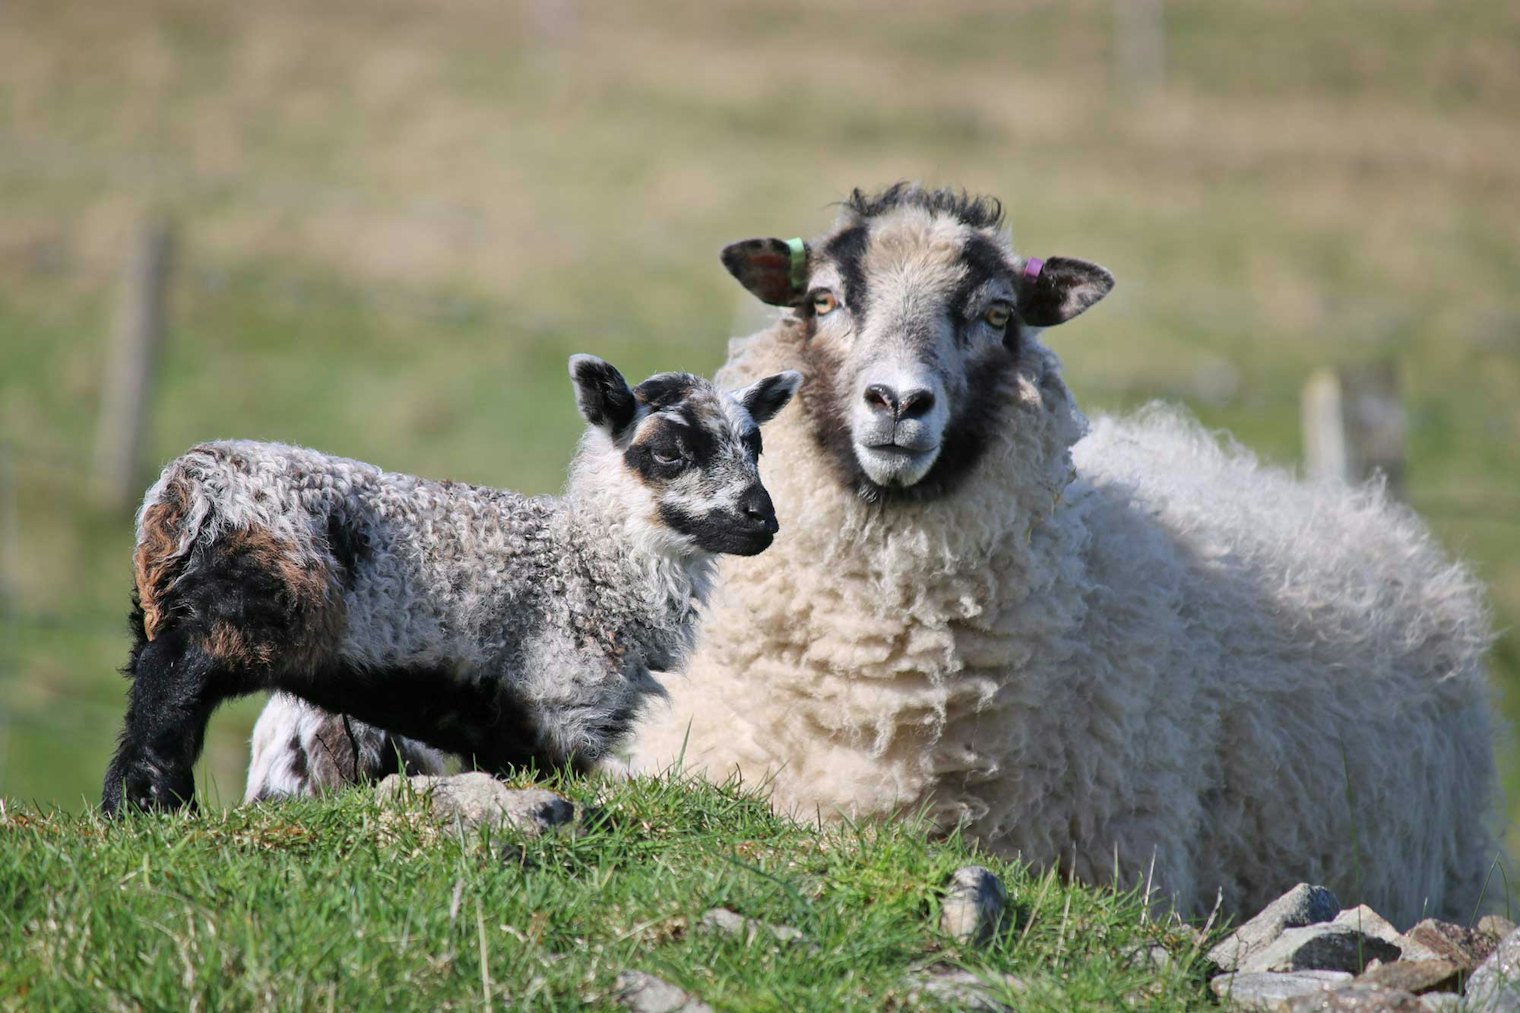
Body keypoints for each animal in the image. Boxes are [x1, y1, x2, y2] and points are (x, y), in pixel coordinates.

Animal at [101, 355, 802, 815]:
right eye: (669, 453)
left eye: (756, 446)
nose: (761, 518)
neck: (590, 561)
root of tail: (184, 491)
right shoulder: (554, 705)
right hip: (230, 616)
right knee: (166, 704)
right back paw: (146, 811)